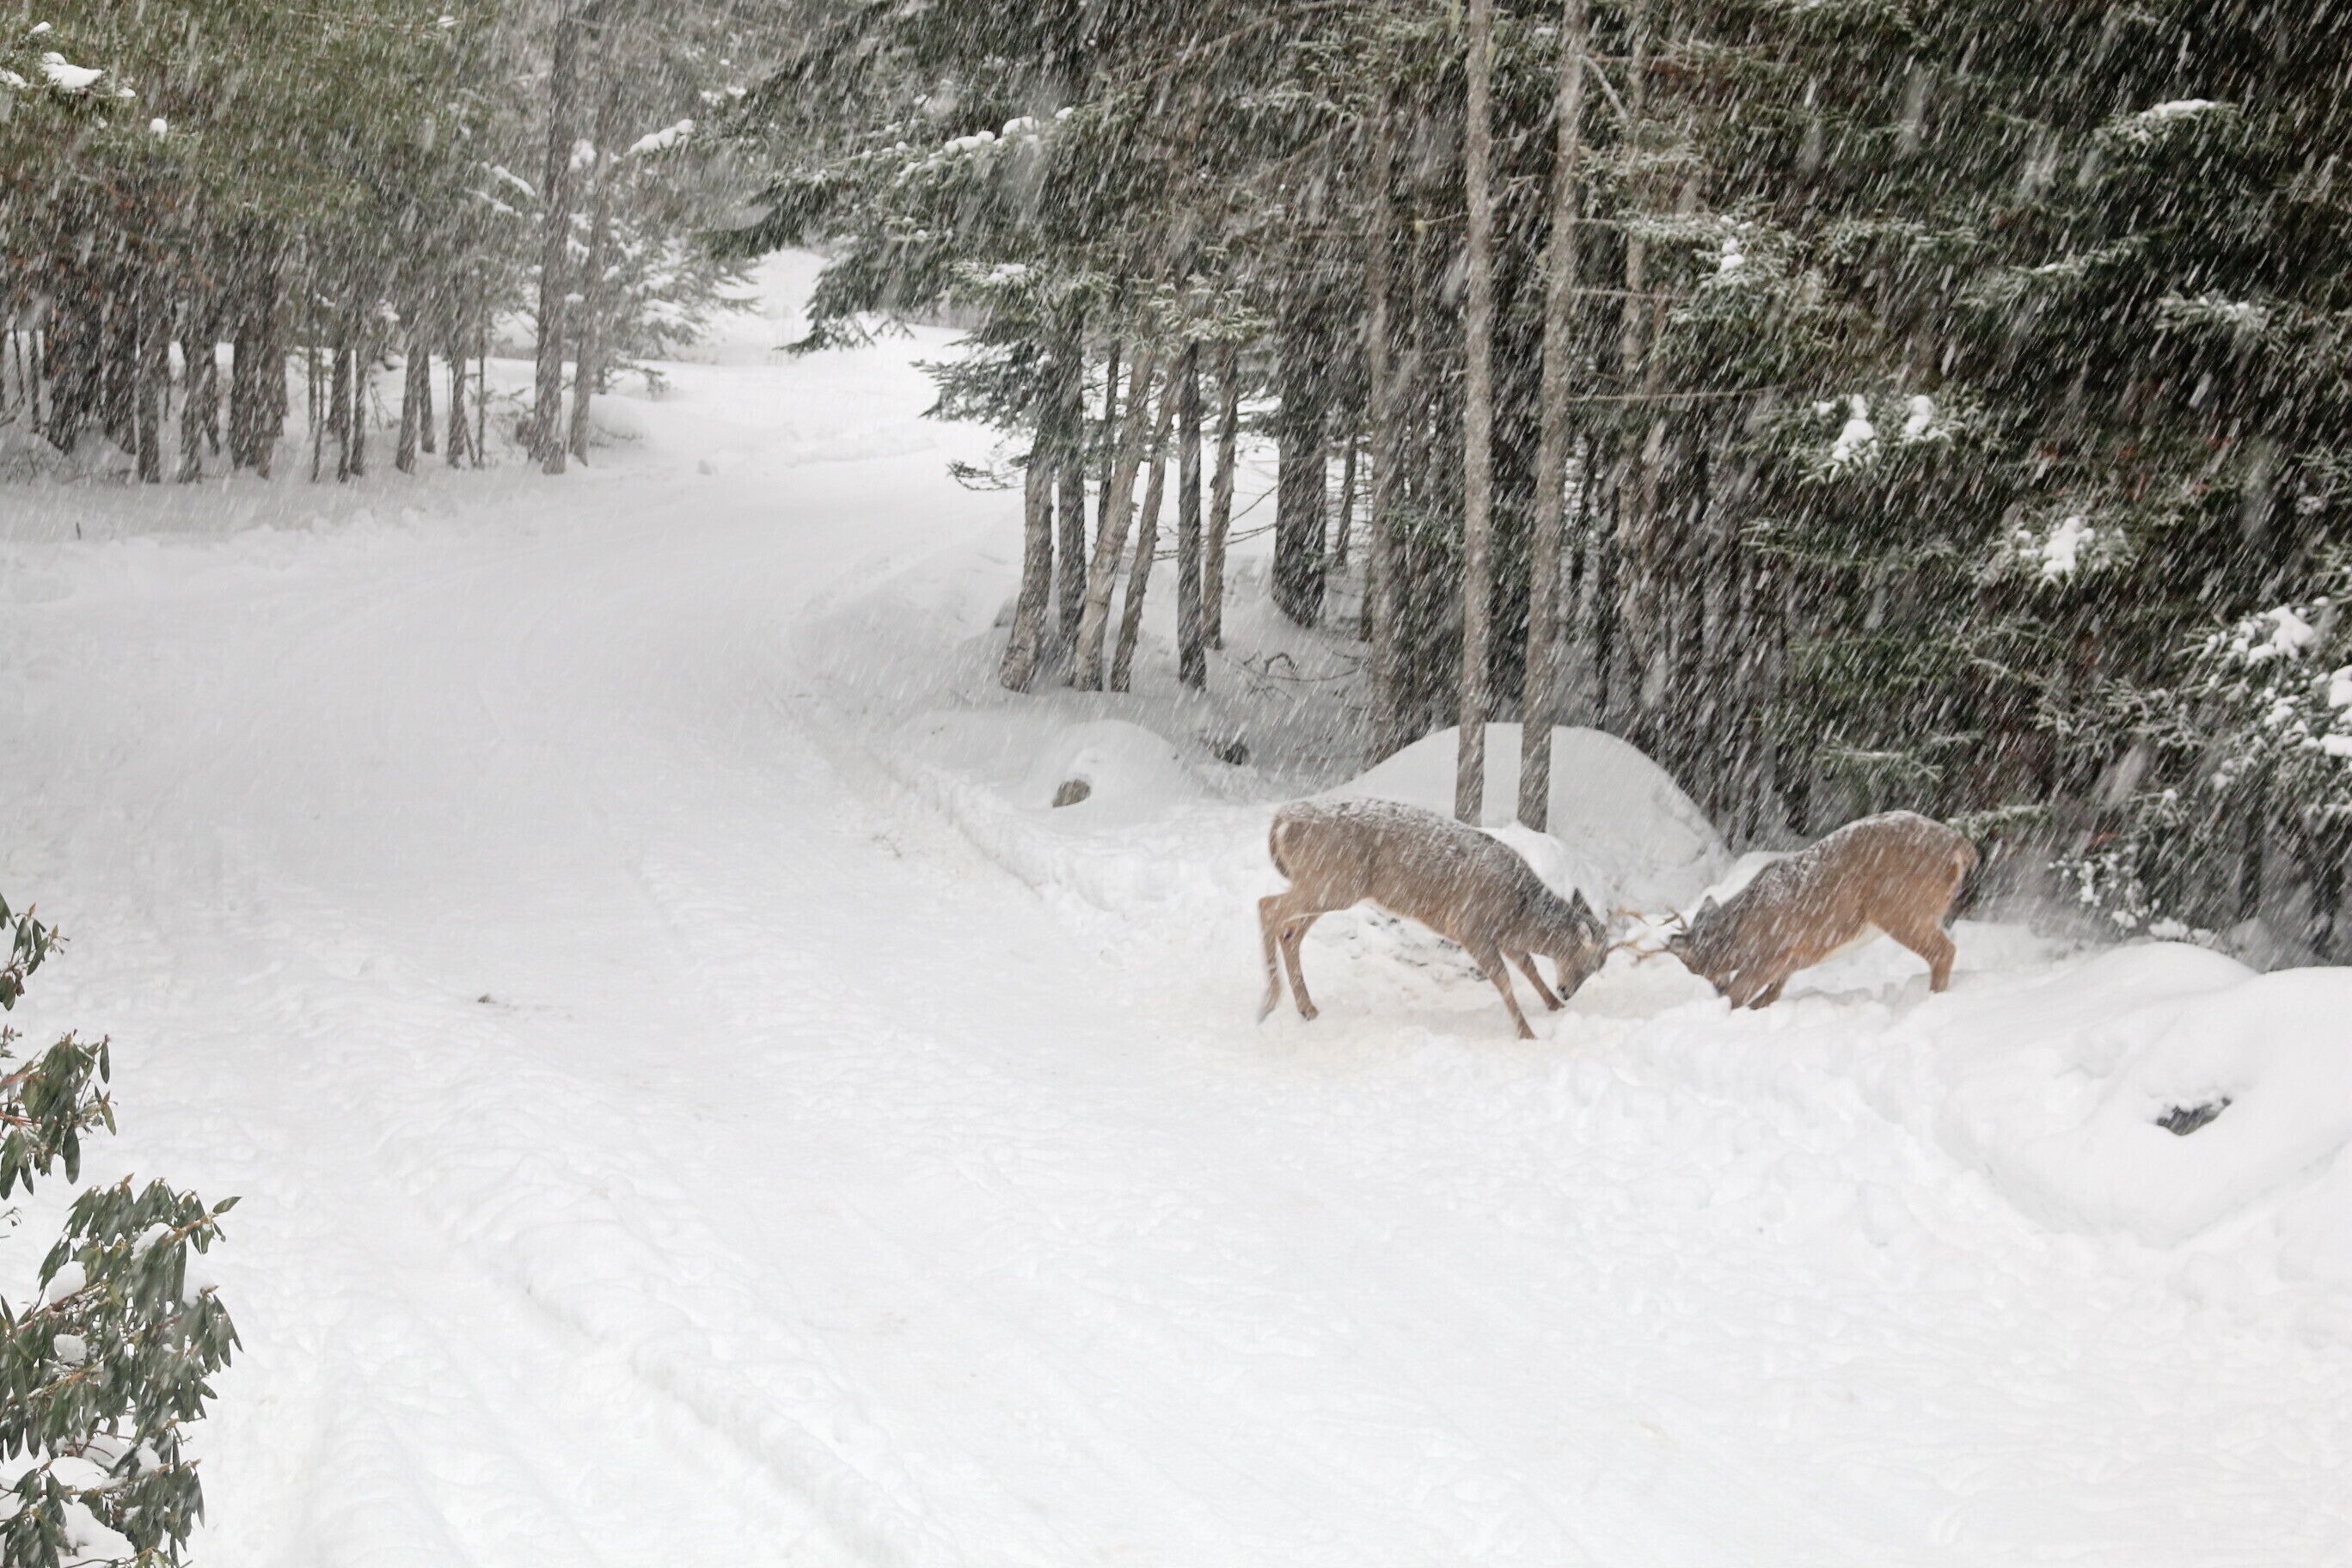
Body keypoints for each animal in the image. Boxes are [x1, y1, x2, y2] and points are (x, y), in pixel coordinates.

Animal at [1256, 798, 1611, 1040]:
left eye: (1598, 966)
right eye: (1588, 962)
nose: (1567, 991)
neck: (1519, 910)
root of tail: (1281, 820)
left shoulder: (1504, 936)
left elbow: (1529, 967)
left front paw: (1555, 1008)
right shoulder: (1469, 925)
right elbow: (1504, 980)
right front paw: (1528, 1033)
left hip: (1329, 887)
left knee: (1289, 931)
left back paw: (1306, 1008)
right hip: (1334, 883)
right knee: (1267, 906)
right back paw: (1269, 1002)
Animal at [1640, 810, 1977, 1009]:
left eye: (1692, 966)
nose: (1715, 989)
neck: (1739, 936)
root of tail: (1960, 846)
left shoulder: (1770, 955)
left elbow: (1740, 997)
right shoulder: (1790, 961)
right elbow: (1768, 998)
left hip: (1901, 908)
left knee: (1943, 951)